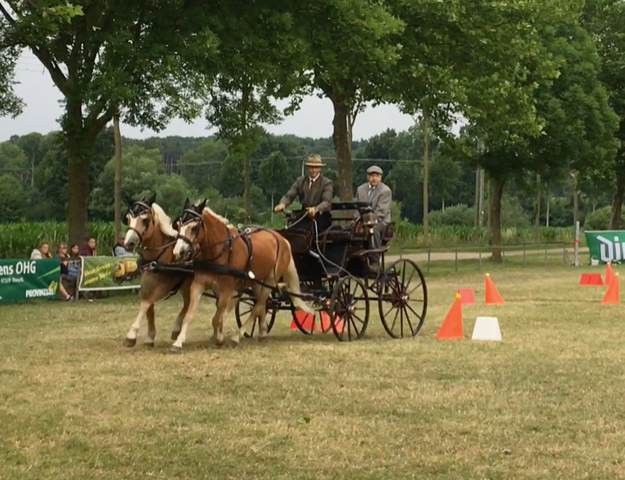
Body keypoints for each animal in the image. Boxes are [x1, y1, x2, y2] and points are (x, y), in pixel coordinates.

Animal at [120, 193, 191, 346]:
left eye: (145, 219)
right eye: (127, 218)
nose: (129, 243)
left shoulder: (162, 287)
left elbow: (145, 304)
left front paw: (131, 335)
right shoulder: (146, 286)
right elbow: (149, 309)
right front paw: (150, 336)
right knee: (187, 303)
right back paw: (177, 329)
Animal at [169, 197, 312, 350]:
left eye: (194, 227)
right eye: (178, 225)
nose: (178, 252)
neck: (221, 250)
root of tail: (282, 239)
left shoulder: (227, 290)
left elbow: (217, 318)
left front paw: (218, 338)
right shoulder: (198, 284)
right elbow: (190, 315)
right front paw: (178, 341)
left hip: (270, 280)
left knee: (258, 306)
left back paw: (237, 335)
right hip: (257, 282)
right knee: (262, 305)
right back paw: (262, 332)